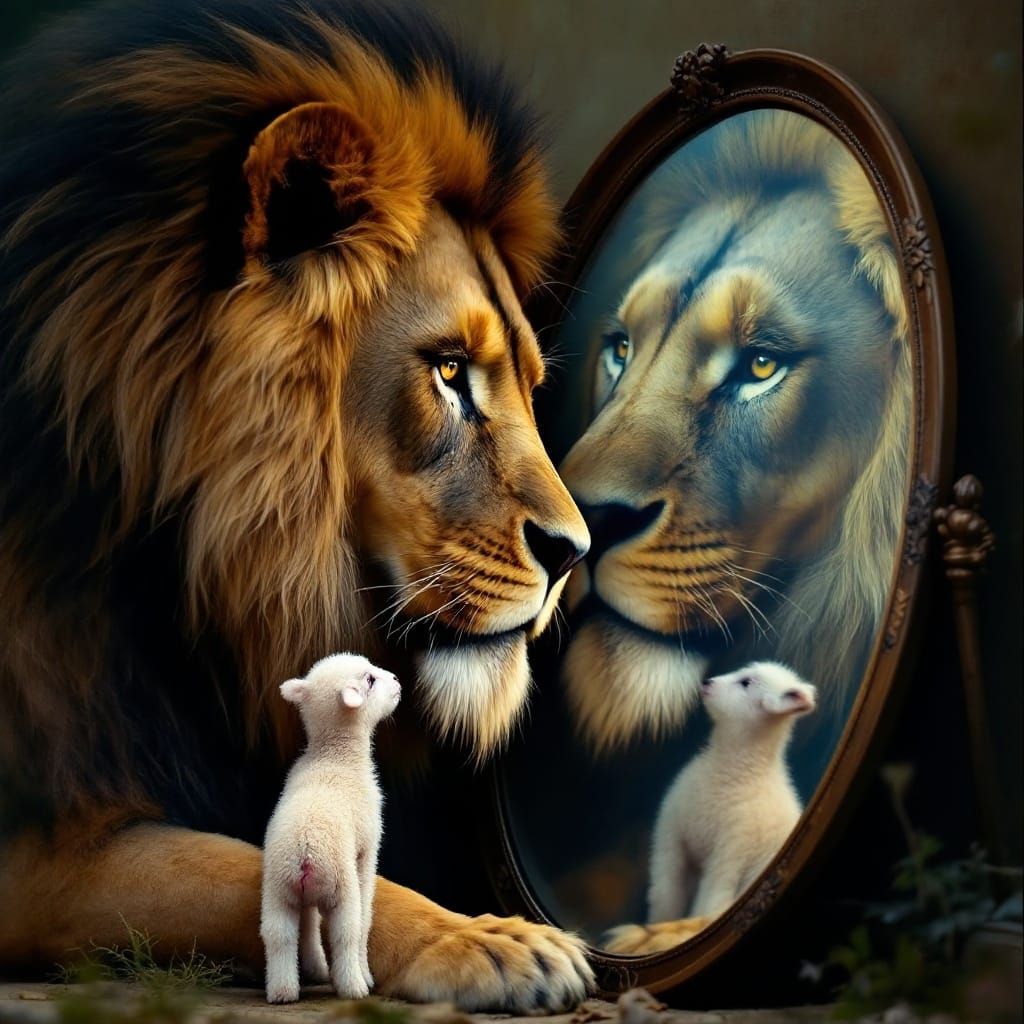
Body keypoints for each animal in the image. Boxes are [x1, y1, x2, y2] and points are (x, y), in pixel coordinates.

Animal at [0, 0, 592, 1010]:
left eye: (528, 380)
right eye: (448, 371)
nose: (573, 552)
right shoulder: (38, 845)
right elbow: (247, 866)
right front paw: (488, 942)